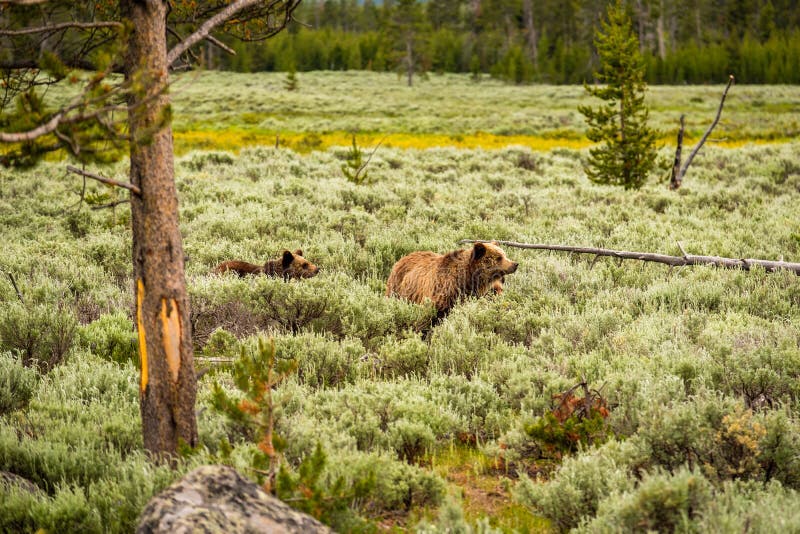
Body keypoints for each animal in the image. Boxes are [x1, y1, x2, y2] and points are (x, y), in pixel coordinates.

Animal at [386, 242, 520, 318]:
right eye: (499, 257)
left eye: (504, 254)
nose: (515, 264)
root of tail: (401, 259)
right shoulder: (442, 293)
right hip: (398, 288)